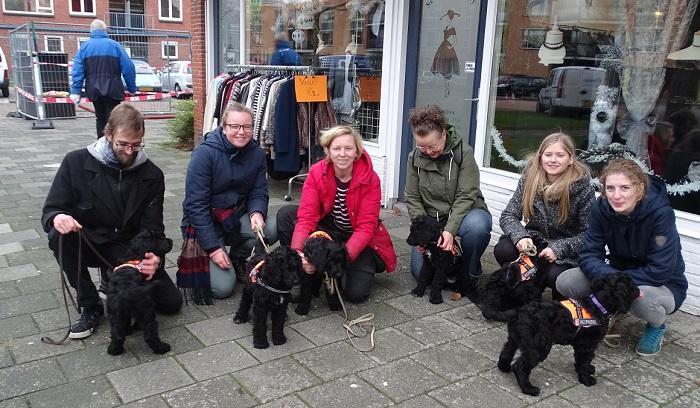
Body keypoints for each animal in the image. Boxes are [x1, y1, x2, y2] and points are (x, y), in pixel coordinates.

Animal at [498, 272, 640, 396]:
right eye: (632, 285)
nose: (639, 290)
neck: (597, 306)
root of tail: (519, 312)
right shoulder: (587, 345)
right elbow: (583, 361)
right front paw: (586, 379)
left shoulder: (585, 345)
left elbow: (586, 360)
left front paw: (589, 369)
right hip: (538, 346)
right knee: (520, 366)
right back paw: (529, 389)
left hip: (515, 338)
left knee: (506, 351)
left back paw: (504, 368)